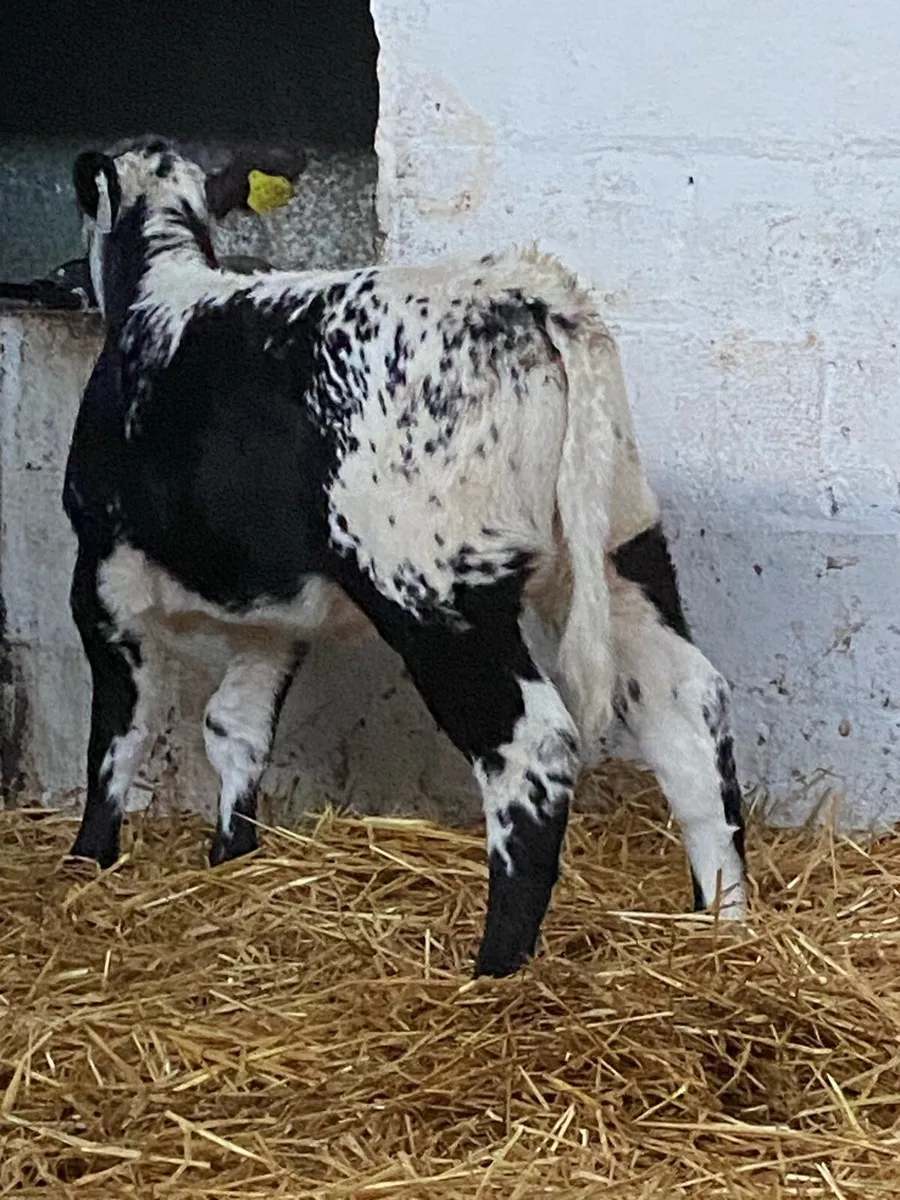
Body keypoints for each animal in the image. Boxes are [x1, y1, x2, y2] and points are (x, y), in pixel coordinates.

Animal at [62, 137, 746, 978]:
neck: (159, 286)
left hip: (432, 591)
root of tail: (526, 289)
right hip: (624, 548)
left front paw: (89, 859)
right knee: (688, 708)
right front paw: (231, 856)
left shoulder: (100, 572)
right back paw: (727, 927)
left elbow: (119, 732)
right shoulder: (277, 612)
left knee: (531, 748)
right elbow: (236, 726)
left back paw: (495, 970)